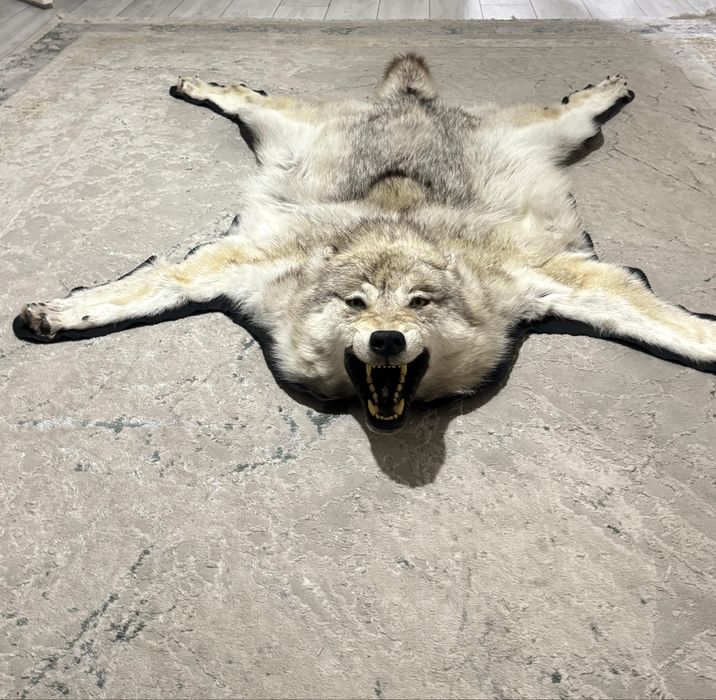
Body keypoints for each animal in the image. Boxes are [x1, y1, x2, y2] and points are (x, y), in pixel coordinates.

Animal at [18, 54, 716, 432]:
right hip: (278, 127)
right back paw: (196, 85)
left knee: (575, 107)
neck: (391, 234)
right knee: (243, 95)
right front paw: (51, 316)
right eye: (354, 304)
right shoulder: (234, 263)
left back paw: (607, 88)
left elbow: (675, 327)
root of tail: (409, 97)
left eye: (419, 304)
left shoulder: (554, 274)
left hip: (556, 133)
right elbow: (137, 291)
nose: (386, 341)